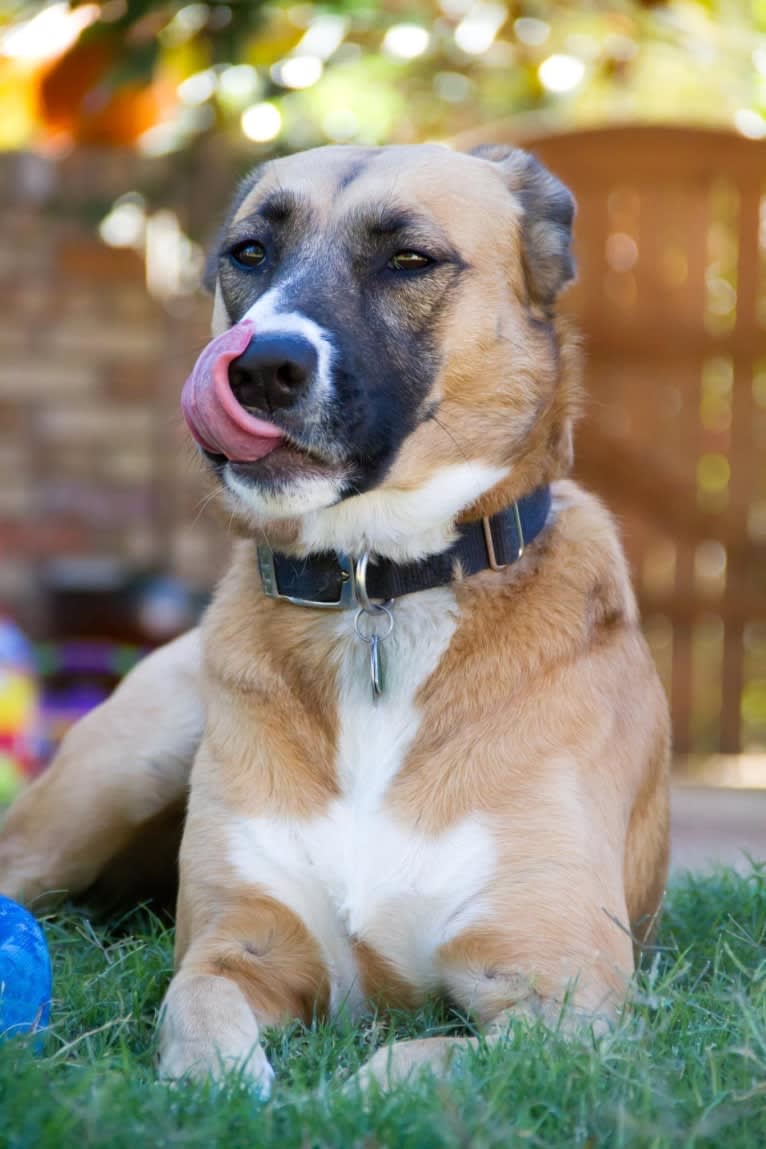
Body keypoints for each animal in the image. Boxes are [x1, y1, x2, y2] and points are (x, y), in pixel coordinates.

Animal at [0, 143, 670, 1093]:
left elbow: (415, 1058)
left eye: (410, 259)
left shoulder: (569, 1000)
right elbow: (197, 1015)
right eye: (248, 253)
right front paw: (226, 1091)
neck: (376, 591)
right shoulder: (237, 948)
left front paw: (345, 1095)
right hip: (124, 764)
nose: (259, 369)